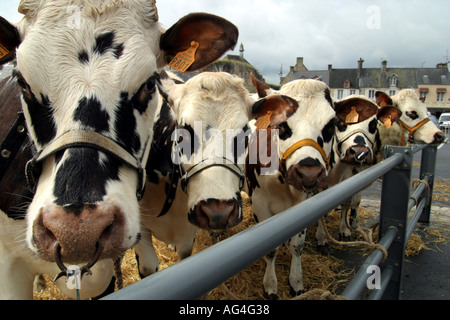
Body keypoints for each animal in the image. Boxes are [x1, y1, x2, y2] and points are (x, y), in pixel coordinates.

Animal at [246, 74, 338, 298]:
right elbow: (270, 249)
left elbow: (297, 245)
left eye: (331, 124)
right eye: (281, 124)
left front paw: (296, 281)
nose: (308, 172)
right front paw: (270, 286)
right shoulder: (259, 204)